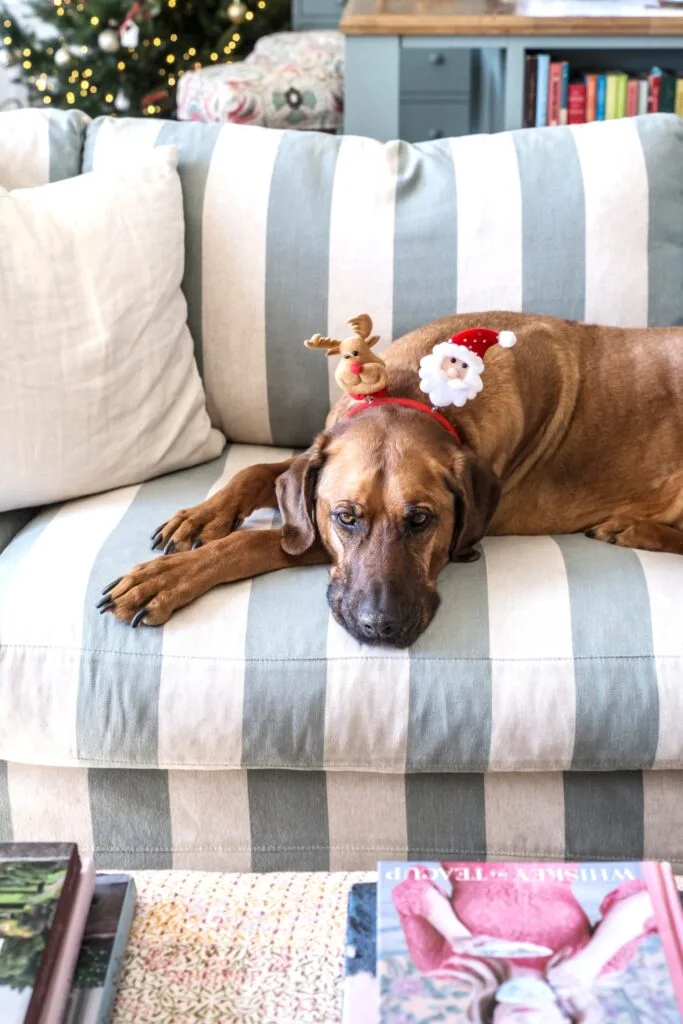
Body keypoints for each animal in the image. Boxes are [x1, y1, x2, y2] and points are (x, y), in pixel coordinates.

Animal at [100, 311, 683, 647]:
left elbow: (258, 541)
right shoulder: (314, 471)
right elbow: (258, 471)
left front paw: (166, 578)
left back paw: (632, 528)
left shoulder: (311, 540)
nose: (379, 628)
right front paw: (200, 516)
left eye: (422, 520)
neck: (416, 393)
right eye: (345, 517)